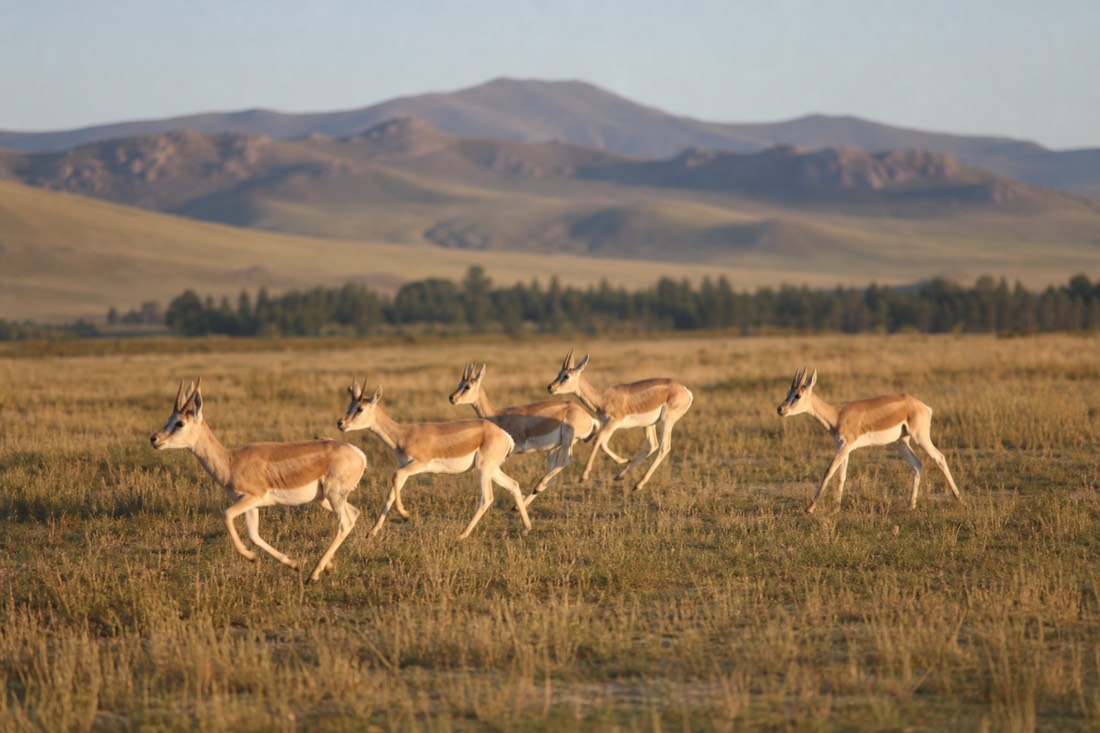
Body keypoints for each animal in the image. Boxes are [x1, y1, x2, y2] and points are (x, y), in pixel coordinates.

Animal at [149, 379, 366, 583]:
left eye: (180, 423)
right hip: (323, 499)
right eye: (169, 419)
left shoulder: (252, 497)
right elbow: (254, 534)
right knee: (354, 513)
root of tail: (358, 453)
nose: (154, 439)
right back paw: (327, 566)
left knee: (345, 522)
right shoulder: (252, 505)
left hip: (333, 495)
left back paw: (313, 574)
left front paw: (251, 557)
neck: (231, 461)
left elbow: (227, 515)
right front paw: (293, 564)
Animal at [337, 380, 531, 539]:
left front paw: (405, 514)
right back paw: (526, 528)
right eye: (349, 406)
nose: (341, 423)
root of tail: (504, 435)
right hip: (492, 469)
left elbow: (394, 477)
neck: (403, 434)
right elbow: (391, 492)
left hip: (484, 468)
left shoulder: (418, 465)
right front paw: (372, 532)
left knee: (487, 498)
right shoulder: (405, 468)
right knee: (513, 485)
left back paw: (461, 534)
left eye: (360, 408)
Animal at [449, 362, 626, 506]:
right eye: (459, 383)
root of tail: (586, 416)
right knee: (553, 473)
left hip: (567, 441)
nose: (452, 398)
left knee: (567, 460)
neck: (498, 415)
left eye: (467, 386)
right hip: (554, 448)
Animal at [546, 349, 694, 490]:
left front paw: (583, 476)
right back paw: (621, 476)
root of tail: (686, 391)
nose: (550, 387)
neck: (602, 398)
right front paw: (623, 460)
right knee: (652, 445)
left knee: (664, 447)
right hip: (648, 424)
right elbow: (603, 444)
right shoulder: (608, 424)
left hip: (666, 420)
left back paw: (639, 484)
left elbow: (597, 440)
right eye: (558, 373)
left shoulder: (614, 422)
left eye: (566, 376)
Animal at [777, 367, 963, 513]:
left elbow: (829, 471)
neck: (837, 415)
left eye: (798, 395)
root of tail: (924, 407)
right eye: (788, 393)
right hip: (900, 442)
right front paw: (836, 508)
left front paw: (810, 508)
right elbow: (841, 475)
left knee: (939, 458)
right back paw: (911, 506)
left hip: (920, 437)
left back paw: (959, 499)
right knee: (917, 464)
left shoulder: (846, 446)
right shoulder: (841, 447)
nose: (780, 409)